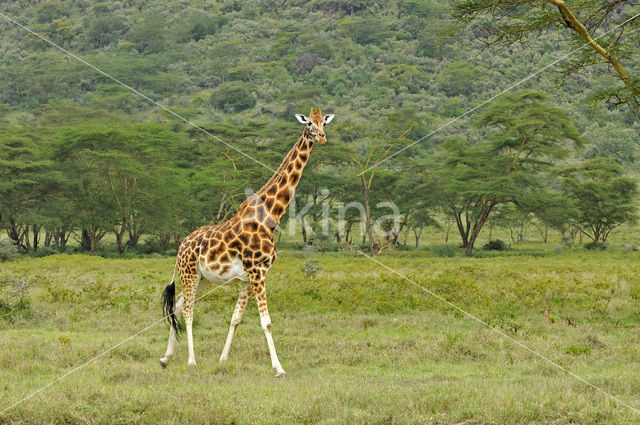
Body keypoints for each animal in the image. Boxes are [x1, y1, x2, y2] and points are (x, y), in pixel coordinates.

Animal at [159, 107, 336, 376]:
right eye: (308, 124)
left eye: (323, 122)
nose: (322, 137)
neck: (270, 216)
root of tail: (181, 247)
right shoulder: (258, 272)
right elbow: (267, 322)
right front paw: (279, 368)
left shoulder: (248, 278)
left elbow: (236, 318)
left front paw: (222, 360)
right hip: (189, 274)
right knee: (188, 309)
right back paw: (191, 361)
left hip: (202, 278)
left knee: (178, 304)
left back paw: (166, 358)